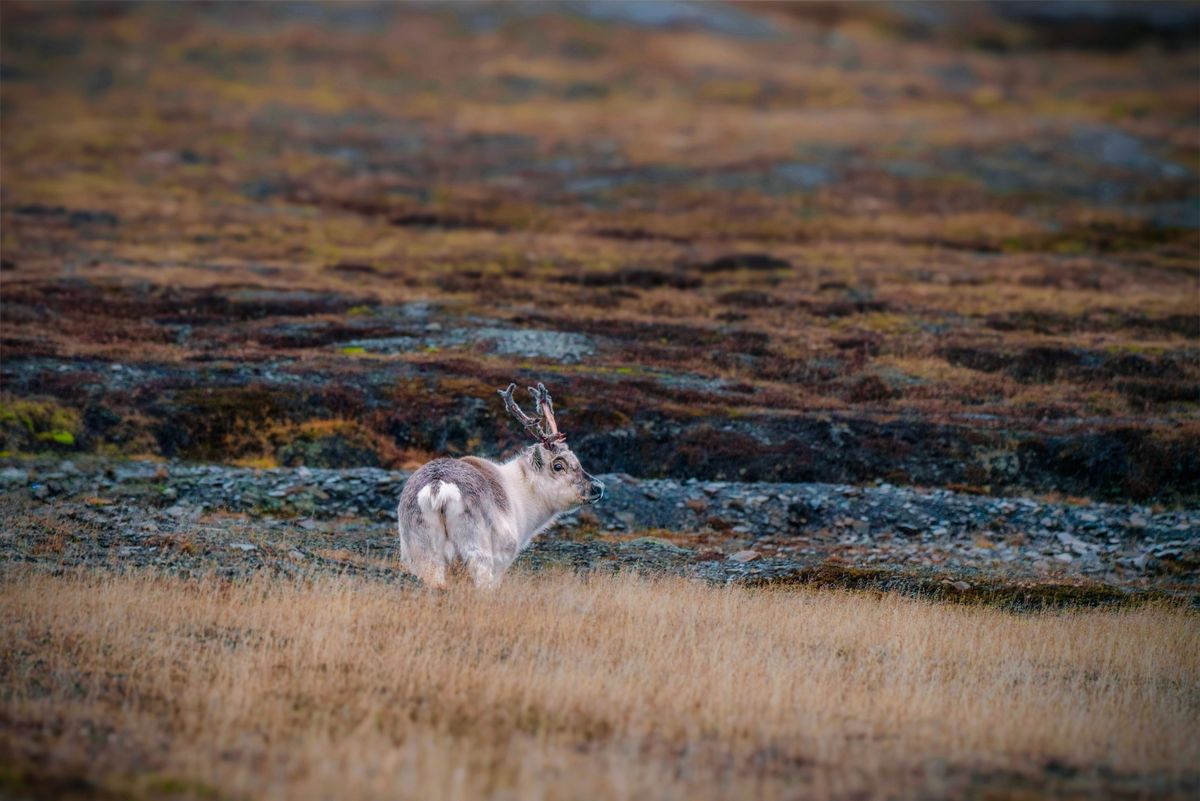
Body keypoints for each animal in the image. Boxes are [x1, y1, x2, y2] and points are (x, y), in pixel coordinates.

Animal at [396, 382, 605, 589]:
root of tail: (438, 486)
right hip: (476, 551)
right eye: (558, 465)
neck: (521, 494)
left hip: (420, 552)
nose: (598, 487)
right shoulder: (503, 557)